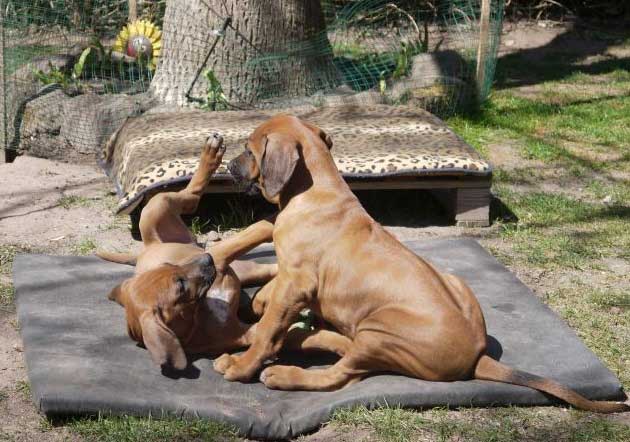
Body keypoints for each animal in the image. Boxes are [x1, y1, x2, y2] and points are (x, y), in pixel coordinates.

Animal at [215, 115, 628, 414]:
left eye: (248, 151)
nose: (229, 167)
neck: (317, 189)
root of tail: (477, 356)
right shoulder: (291, 276)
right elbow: (269, 294)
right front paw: (261, 304)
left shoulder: (297, 282)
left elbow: (269, 328)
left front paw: (244, 364)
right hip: (453, 282)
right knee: (344, 348)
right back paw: (306, 335)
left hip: (381, 331)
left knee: (342, 374)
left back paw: (287, 367)